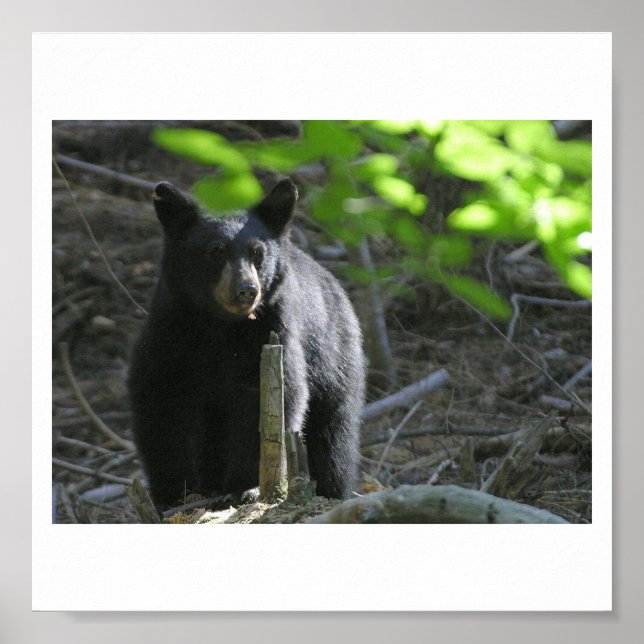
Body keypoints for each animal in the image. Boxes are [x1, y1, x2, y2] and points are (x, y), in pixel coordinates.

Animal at [128, 178, 365, 511]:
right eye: (216, 250)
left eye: (257, 252)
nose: (246, 290)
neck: (220, 325)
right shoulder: (172, 332)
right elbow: (161, 400)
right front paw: (175, 493)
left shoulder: (272, 332)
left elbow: (265, 401)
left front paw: (245, 486)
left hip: (334, 360)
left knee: (332, 436)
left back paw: (330, 488)